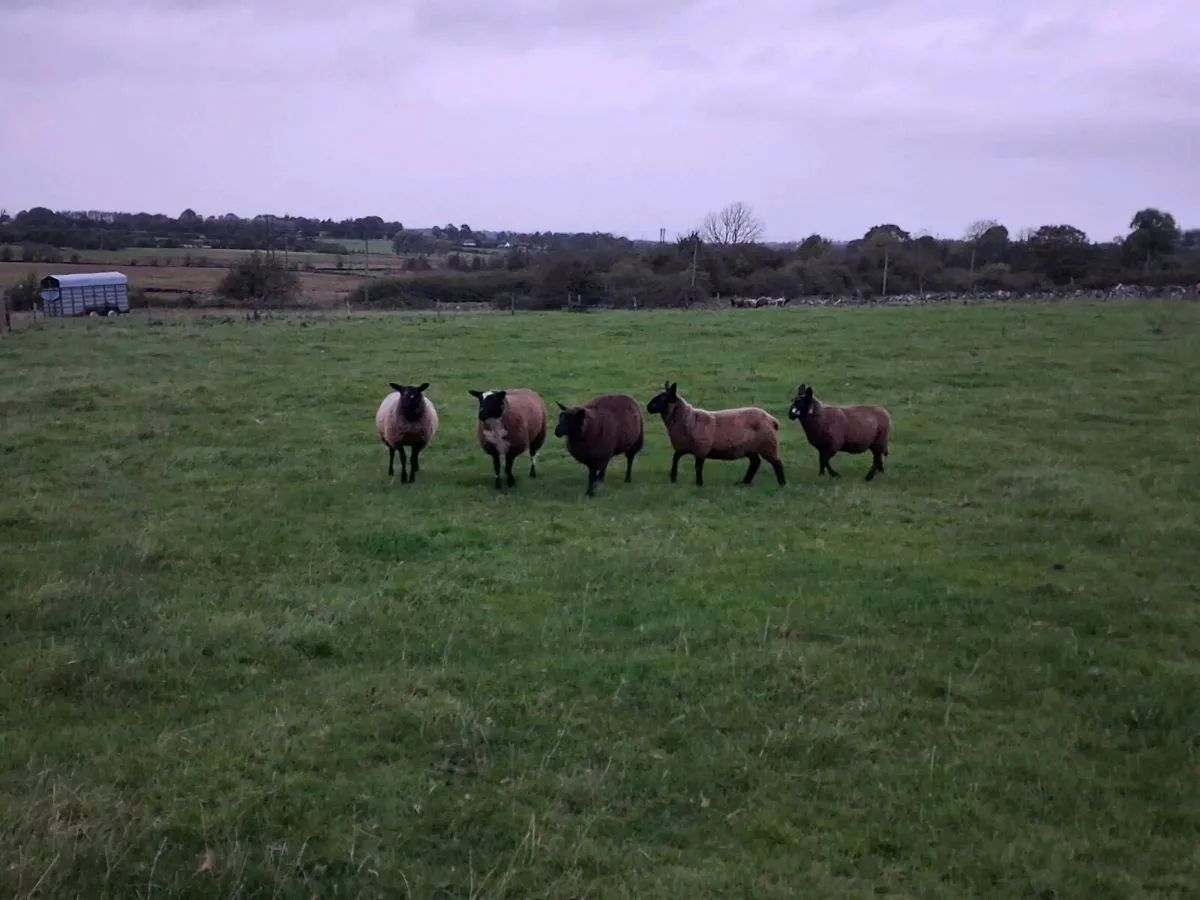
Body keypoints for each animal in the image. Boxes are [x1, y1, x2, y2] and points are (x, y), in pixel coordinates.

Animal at [645, 381, 786, 487]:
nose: (648, 407)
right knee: (755, 463)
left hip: (768, 445)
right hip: (750, 448)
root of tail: (772, 420)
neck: (687, 418)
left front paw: (699, 484)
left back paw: (782, 483)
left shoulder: (701, 448)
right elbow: (675, 460)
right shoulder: (682, 447)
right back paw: (744, 482)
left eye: (664, 397)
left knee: (777, 463)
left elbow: (698, 467)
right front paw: (673, 478)